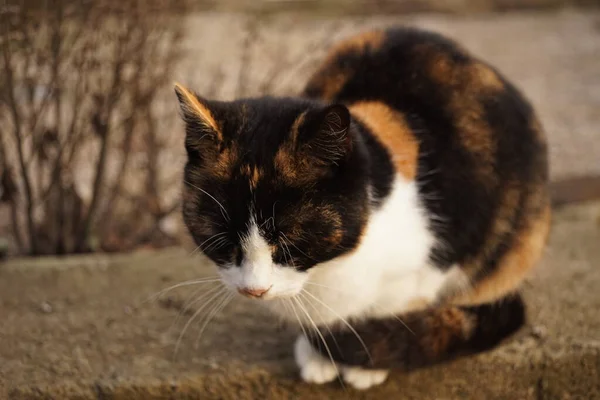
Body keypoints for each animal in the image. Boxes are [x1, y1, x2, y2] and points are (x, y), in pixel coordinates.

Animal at [173, 26, 548, 390]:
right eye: (220, 240)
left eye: (292, 241)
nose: (254, 290)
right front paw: (319, 354)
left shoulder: (439, 255)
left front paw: (362, 363)